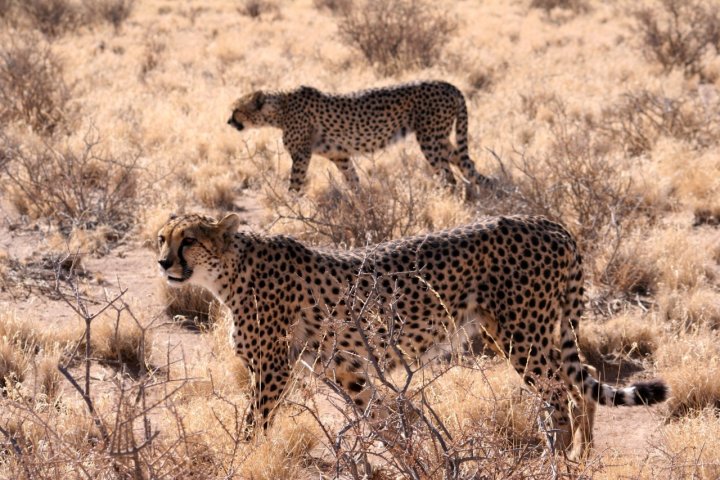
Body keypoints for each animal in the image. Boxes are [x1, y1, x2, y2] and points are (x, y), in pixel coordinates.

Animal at [158, 213, 668, 458]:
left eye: (189, 240)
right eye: (162, 237)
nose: (162, 263)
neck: (229, 271)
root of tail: (549, 222)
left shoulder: (272, 370)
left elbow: (252, 427)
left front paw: (239, 459)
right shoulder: (343, 365)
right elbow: (378, 416)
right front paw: (405, 453)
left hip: (523, 334)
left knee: (559, 395)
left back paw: (558, 457)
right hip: (536, 330)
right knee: (580, 385)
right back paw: (583, 455)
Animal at [228, 80, 492, 195]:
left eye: (236, 110)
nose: (229, 121)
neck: (279, 111)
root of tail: (448, 84)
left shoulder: (301, 155)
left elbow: (295, 184)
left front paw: (290, 206)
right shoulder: (339, 155)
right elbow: (353, 180)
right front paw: (362, 205)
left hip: (430, 139)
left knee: (448, 176)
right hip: (439, 137)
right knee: (464, 161)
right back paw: (487, 185)